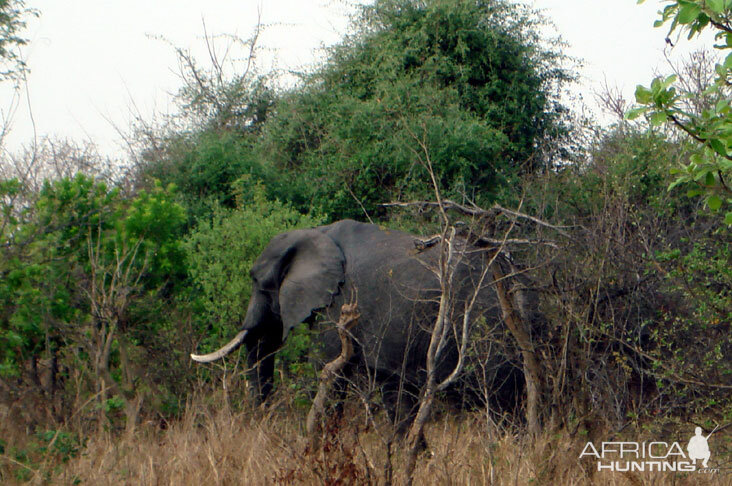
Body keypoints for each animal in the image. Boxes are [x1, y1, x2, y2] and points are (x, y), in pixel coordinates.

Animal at [189, 220, 532, 430]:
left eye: (258, 283)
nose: (259, 421)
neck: (315, 232)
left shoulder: (338, 303)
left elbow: (327, 373)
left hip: (486, 325)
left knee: (499, 403)